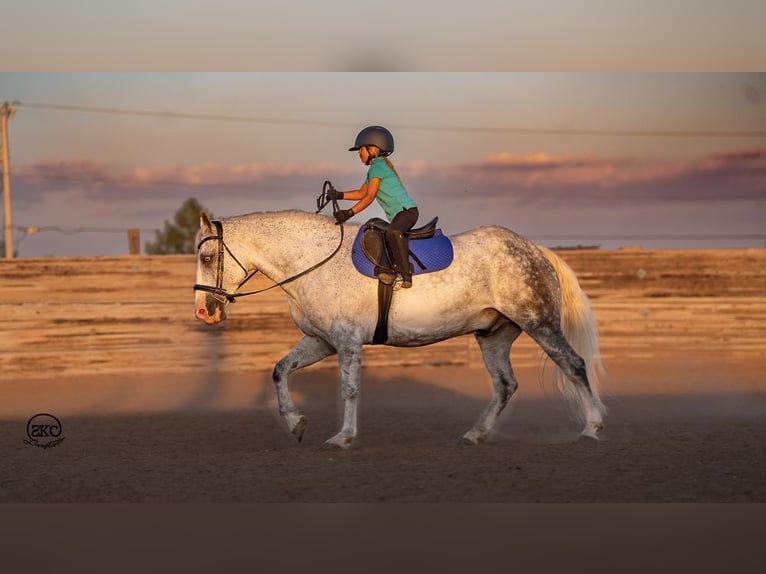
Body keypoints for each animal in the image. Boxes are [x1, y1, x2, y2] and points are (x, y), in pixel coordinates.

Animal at [192, 210, 608, 450]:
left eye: (208, 257)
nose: (203, 311)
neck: (315, 261)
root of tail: (536, 250)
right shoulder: (321, 341)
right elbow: (280, 371)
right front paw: (296, 424)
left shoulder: (346, 342)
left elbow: (349, 389)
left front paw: (343, 436)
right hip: (494, 337)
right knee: (505, 385)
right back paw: (476, 433)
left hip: (540, 324)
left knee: (574, 366)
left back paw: (592, 427)